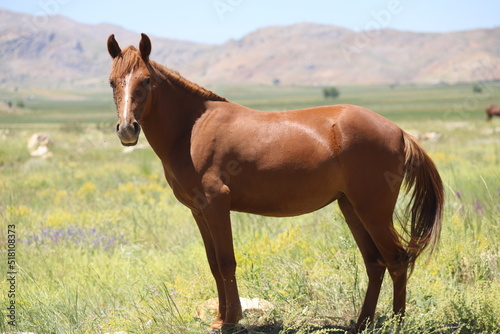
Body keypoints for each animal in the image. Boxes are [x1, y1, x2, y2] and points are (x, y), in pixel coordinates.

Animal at [107, 33, 444, 332]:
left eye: (146, 80)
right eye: (112, 81)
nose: (127, 129)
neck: (192, 129)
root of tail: (399, 132)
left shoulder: (216, 206)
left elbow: (226, 262)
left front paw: (231, 320)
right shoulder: (199, 211)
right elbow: (214, 264)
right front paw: (219, 318)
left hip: (373, 211)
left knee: (397, 259)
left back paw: (397, 323)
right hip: (351, 208)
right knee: (375, 263)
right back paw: (362, 322)